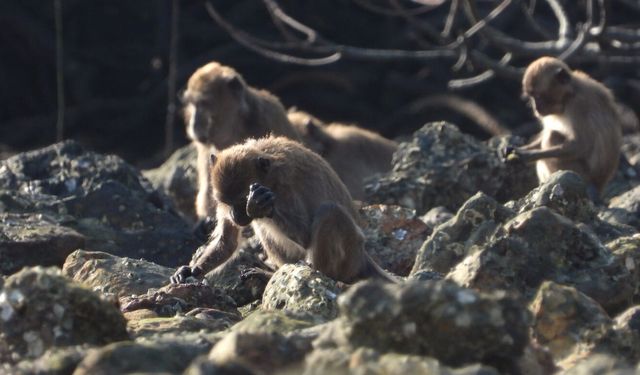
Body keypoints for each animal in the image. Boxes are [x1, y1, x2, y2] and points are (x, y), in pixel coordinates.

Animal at [168, 137, 396, 284]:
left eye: (241, 202)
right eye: (226, 202)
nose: (235, 215)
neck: (269, 176)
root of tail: (362, 256)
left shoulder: (285, 189)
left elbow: (305, 236)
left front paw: (258, 205)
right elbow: (227, 241)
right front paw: (191, 271)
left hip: (349, 254)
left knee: (329, 212)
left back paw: (322, 274)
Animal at [504, 55, 620, 200]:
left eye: (538, 96)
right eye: (531, 97)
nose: (536, 108)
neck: (569, 96)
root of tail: (599, 186)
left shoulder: (579, 105)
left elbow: (580, 145)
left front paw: (528, 155)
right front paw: (515, 149)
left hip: (582, 175)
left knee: (551, 136)